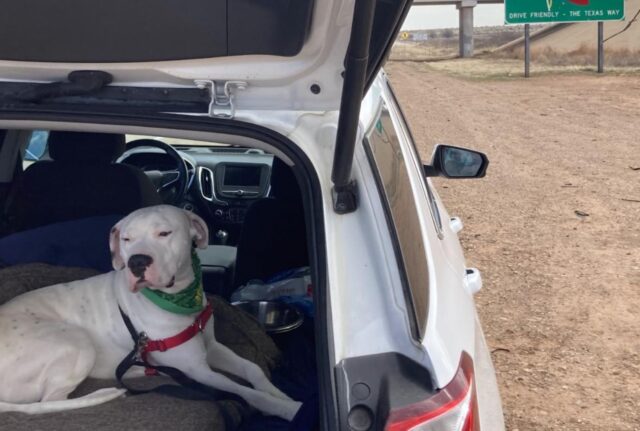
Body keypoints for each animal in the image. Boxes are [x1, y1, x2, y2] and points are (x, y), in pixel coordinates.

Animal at [0, 206, 302, 422]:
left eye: (165, 233)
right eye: (126, 239)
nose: (137, 261)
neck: (178, 298)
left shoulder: (211, 347)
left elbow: (252, 370)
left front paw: (280, 393)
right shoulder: (198, 368)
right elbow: (246, 392)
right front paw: (288, 409)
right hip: (76, 340)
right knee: (52, 401)